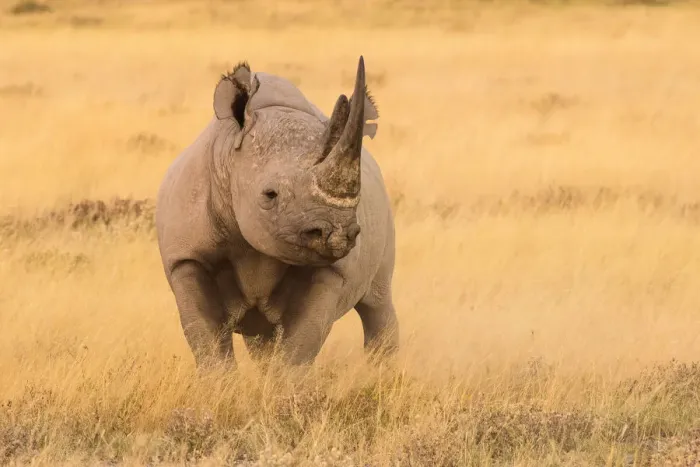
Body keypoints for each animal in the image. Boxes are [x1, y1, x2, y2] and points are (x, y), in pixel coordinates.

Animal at [155, 56, 398, 368]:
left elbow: (300, 345)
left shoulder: (330, 270)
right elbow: (207, 339)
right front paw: (223, 382)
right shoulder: (186, 257)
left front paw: (283, 382)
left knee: (377, 303)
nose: (337, 234)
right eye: (270, 195)